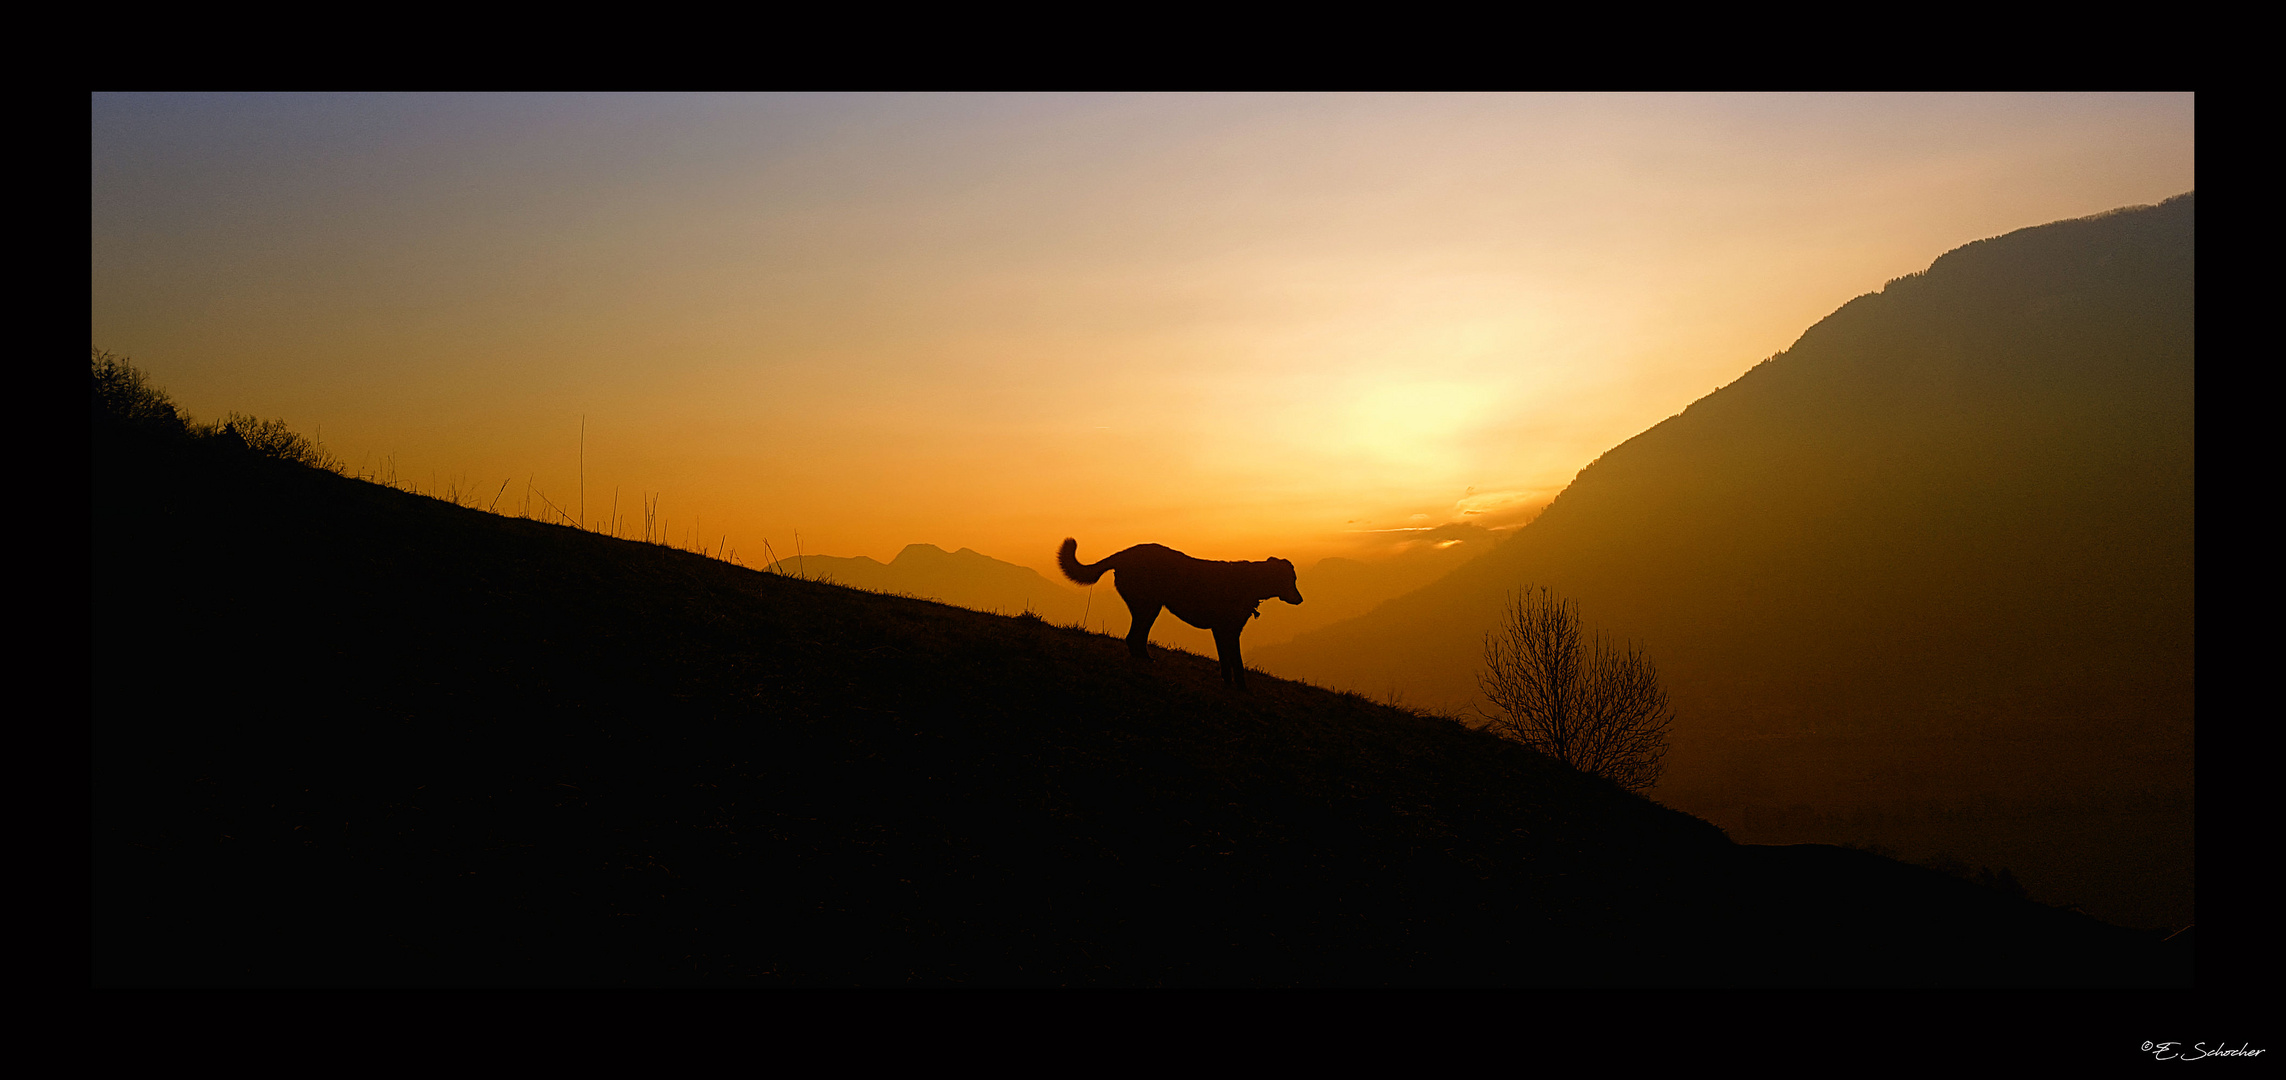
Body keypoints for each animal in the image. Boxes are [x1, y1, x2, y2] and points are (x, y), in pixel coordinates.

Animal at [1056, 540, 1307, 691]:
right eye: (1292, 579)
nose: (1301, 599)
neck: (1251, 581)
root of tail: (1125, 553)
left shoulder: (1226, 631)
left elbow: (1229, 661)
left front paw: (1230, 682)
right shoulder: (1225, 630)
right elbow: (1235, 661)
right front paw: (1239, 687)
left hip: (1149, 608)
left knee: (1136, 637)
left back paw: (1145, 658)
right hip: (1148, 606)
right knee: (1133, 636)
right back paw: (1142, 659)